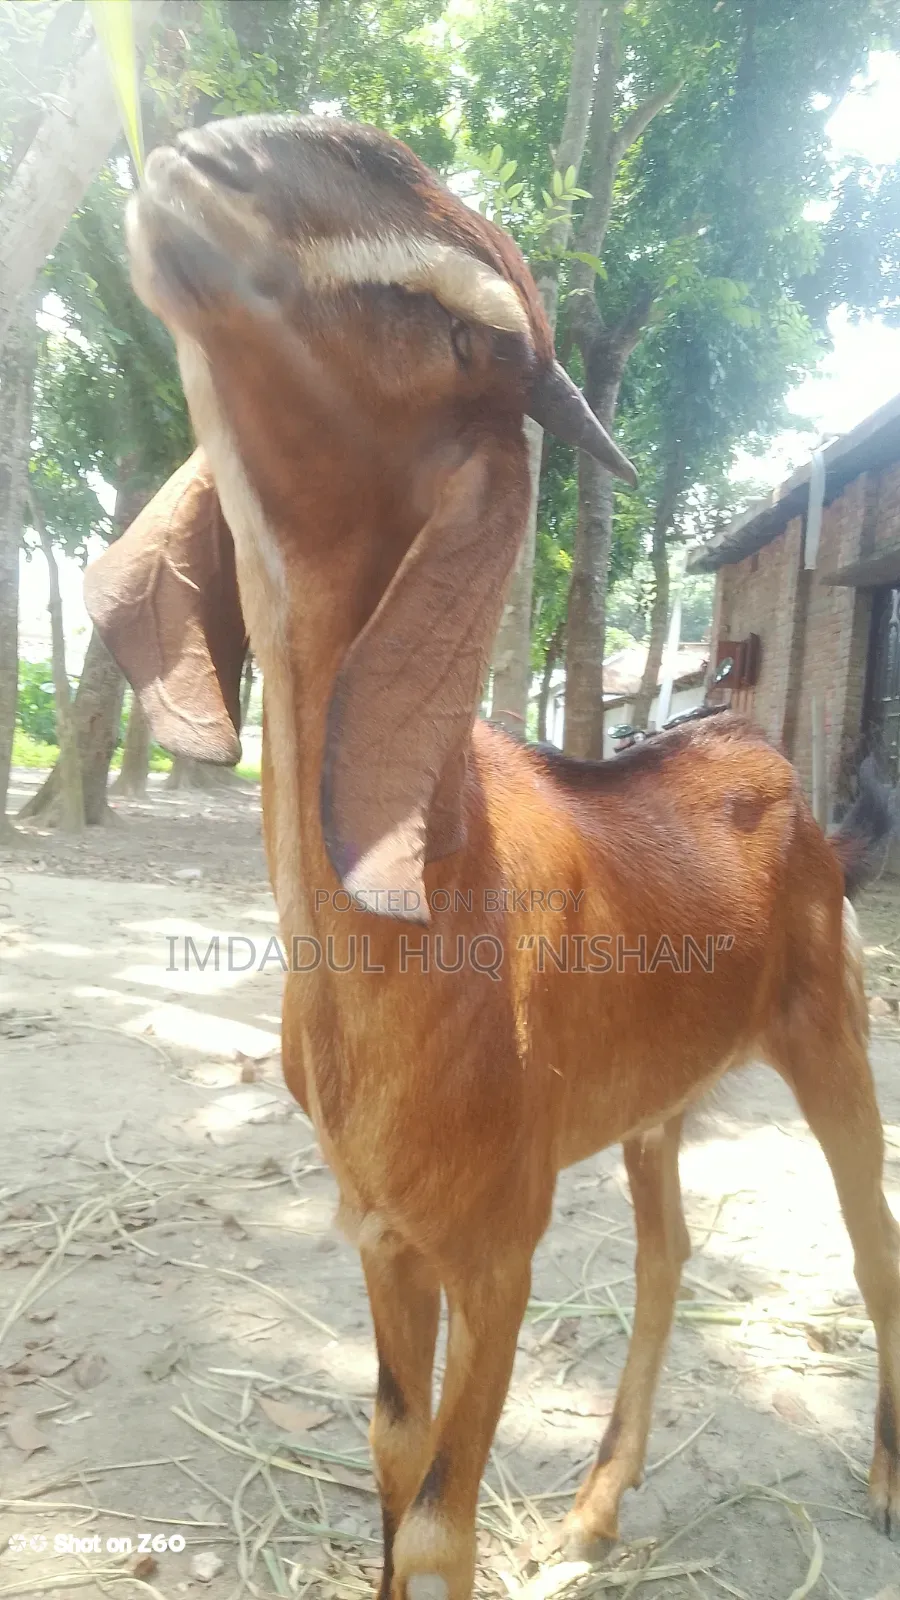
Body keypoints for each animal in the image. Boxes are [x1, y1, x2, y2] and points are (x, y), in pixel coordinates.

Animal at [84, 114, 900, 1599]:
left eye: (464, 327)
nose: (211, 161)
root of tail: (796, 797)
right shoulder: (384, 1235)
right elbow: (390, 1451)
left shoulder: (498, 1246)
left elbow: (438, 1515)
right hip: (655, 1105)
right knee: (666, 1256)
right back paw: (595, 1507)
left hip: (832, 1038)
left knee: (875, 1242)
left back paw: (878, 1476)